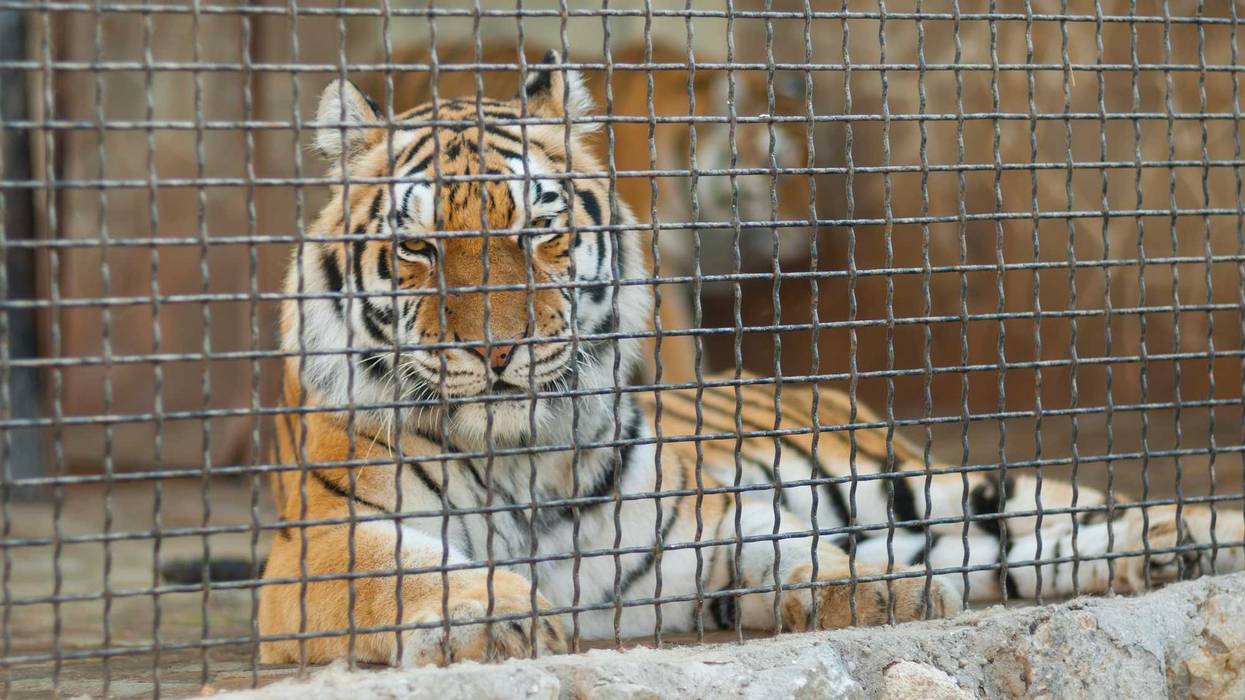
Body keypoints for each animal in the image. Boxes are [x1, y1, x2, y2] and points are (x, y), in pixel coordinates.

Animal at [258, 50, 1244, 667]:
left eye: (539, 231)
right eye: (418, 248)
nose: (500, 347)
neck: (522, 460)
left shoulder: (712, 519)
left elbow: (790, 550)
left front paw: (877, 586)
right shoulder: (319, 545)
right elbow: (404, 572)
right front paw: (493, 612)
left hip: (913, 481)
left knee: (1051, 509)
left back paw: (1190, 538)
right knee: (1021, 549)